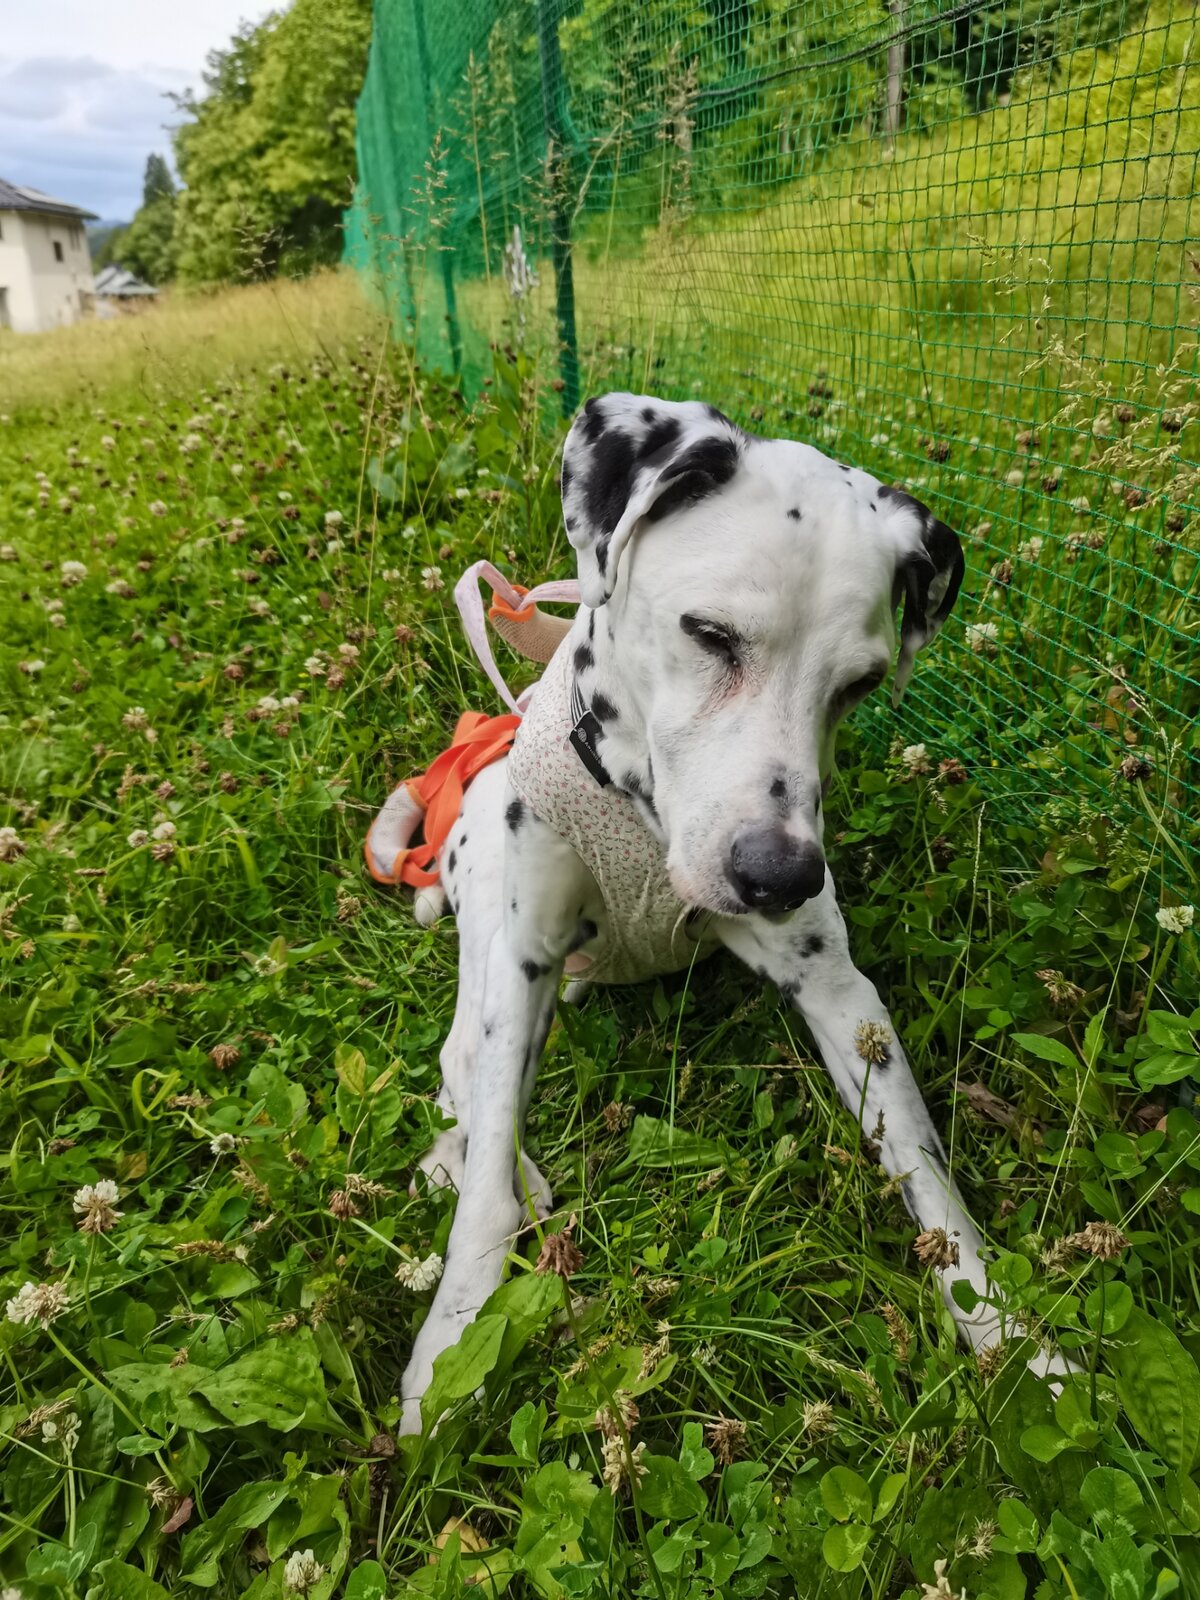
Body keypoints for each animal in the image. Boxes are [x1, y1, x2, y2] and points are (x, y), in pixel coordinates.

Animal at [374, 392, 1024, 1435]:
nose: (778, 876)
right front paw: (454, 1342)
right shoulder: (522, 961)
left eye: (859, 685)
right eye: (711, 634)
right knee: (464, 1075)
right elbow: (483, 1200)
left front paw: (1018, 1342)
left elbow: (933, 1185)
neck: (644, 818)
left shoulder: (841, 992)